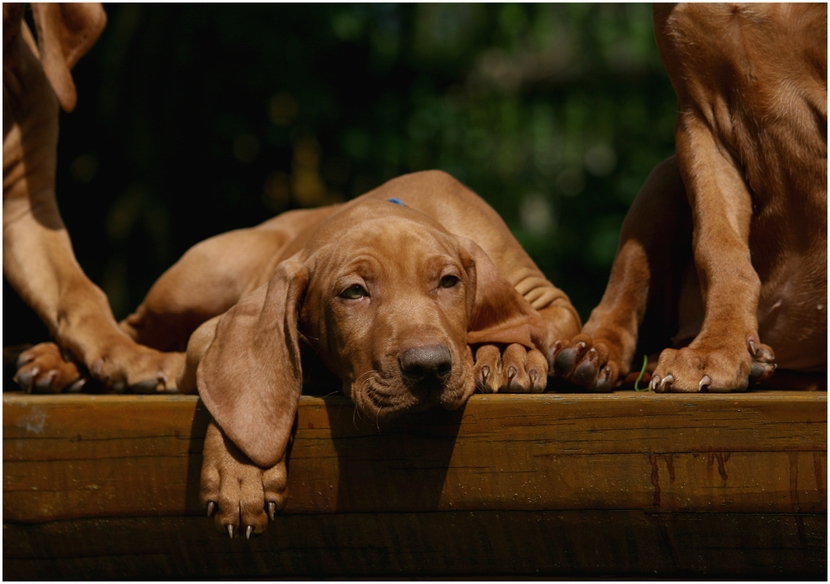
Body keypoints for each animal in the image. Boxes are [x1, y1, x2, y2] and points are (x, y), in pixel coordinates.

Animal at [552, 3, 824, 392]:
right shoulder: (701, 117)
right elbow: (719, 250)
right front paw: (715, 349)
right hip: (662, 179)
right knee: (620, 302)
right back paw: (591, 353)